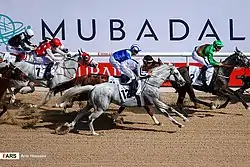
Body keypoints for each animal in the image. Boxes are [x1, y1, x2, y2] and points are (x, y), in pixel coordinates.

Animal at [56, 64, 188, 136]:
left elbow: (165, 113)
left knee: (81, 113)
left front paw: (179, 124)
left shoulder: (152, 102)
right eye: (177, 73)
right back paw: (93, 132)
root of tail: (94, 87)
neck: (151, 82)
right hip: (101, 107)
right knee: (89, 117)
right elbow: (169, 108)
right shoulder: (154, 101)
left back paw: (68, 125)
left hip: (90, 104)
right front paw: (184, 118)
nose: (183, 82)